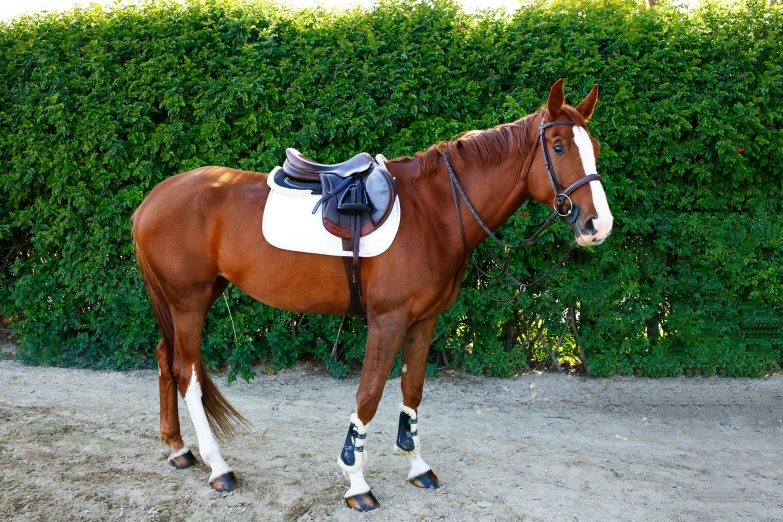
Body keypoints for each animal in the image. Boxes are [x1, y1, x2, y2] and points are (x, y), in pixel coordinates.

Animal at [133, 80, 612, 508]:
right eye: (558, 148)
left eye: (595, 147)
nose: (598, 225)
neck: (435, 210)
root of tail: (152, 199)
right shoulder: (388, 320)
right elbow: (369, 394)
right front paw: (356, 482)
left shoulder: (424, 320)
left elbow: (412, 390)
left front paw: (417, 466)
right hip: (189, 301)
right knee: (186, 373)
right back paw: (219, 467)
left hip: (188, 300)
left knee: (164, 358)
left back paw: (179, 450)